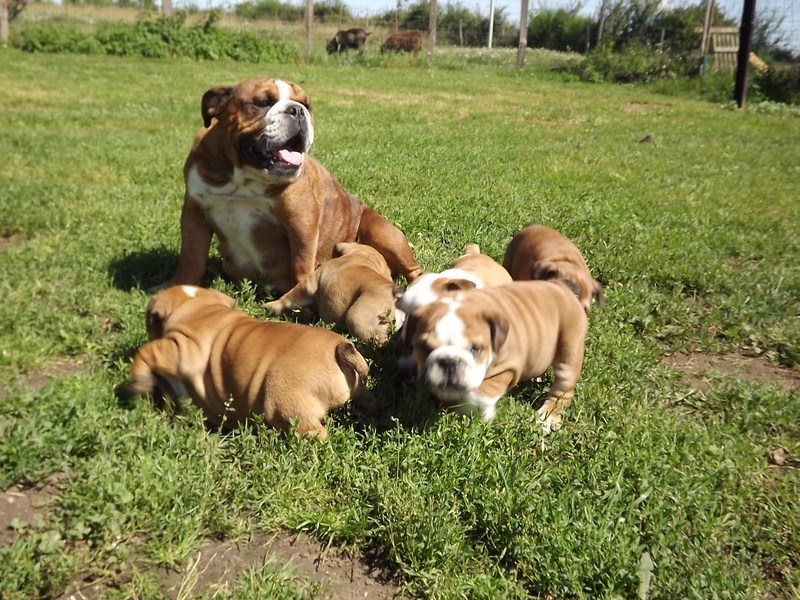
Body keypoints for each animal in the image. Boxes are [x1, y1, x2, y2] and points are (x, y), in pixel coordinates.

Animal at [125, 284, 376, 438]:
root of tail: (339, 348)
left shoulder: (179, 347)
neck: (200, 307)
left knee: (313, 432)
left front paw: (138, 386)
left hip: (283, 402)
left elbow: (146, 352)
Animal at [166, 78, 422, 294]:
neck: (244, 179)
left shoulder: (301, 220)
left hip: (383, 232)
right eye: (262, 102)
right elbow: (191, 260)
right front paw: (180, 287)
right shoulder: (194, 215)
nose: (298, 110)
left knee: (414, 270)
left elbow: (301, 263)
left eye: (306, 104)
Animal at [406, 282, 588, 432]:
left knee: (563, 390)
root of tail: (563, 287)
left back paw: (548, 417)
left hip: (569, 350)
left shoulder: (505, 369)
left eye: (475, 349)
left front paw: (478, 415)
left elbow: (479, 395)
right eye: (425, 348)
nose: (449, 362)